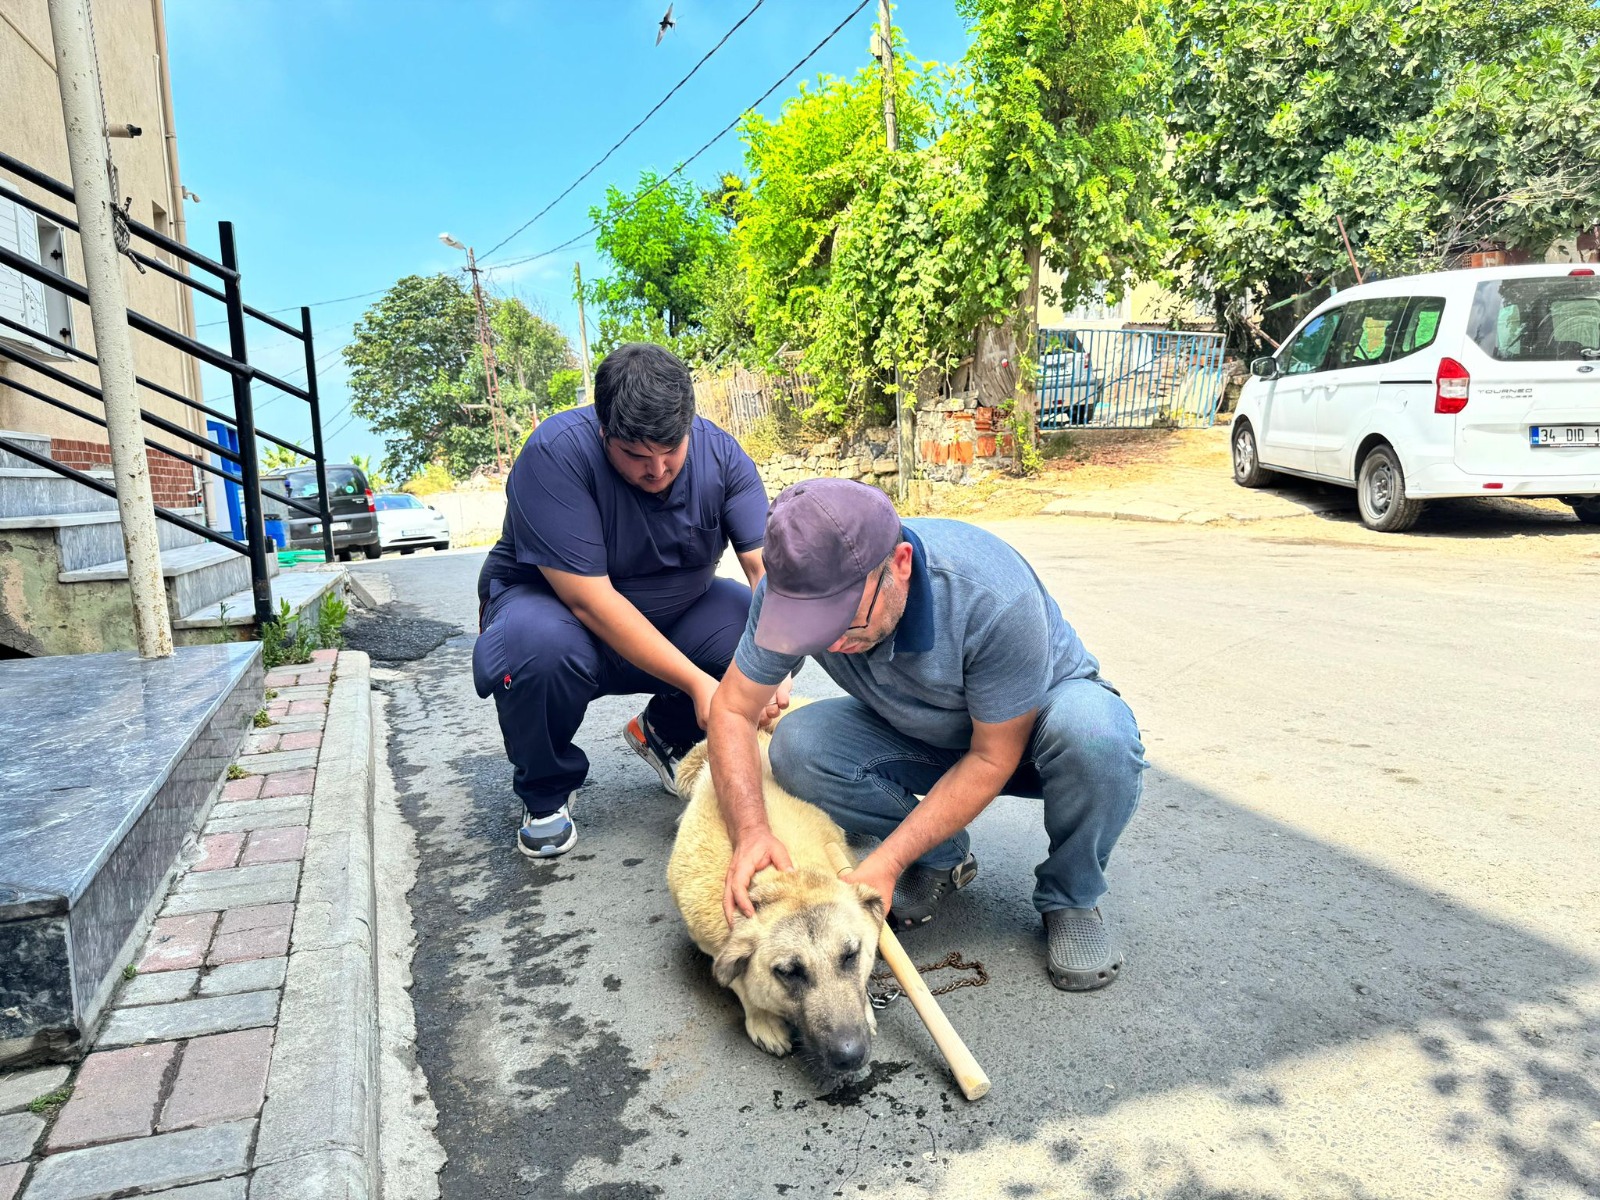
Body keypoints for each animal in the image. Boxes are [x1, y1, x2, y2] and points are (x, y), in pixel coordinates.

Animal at [665, 720, 889, 1088]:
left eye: (850, 955)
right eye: (788, 972)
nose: (851, 1056)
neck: (786, 881)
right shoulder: (710, 938)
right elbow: (739, 981)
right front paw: (762, 1017)